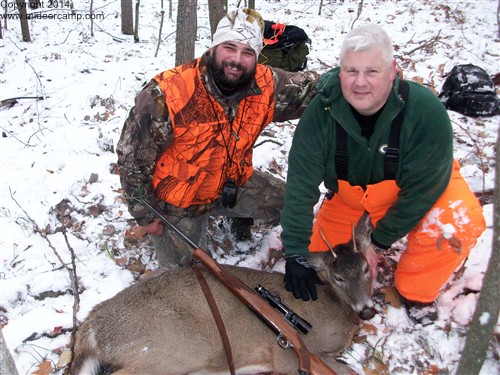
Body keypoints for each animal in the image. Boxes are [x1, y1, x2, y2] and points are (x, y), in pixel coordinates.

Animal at [71, 213, 376, 374]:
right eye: (338, 277)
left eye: (366, 268)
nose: (367, 310)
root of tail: (91, 326)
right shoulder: (290, 357)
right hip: (174, 351)